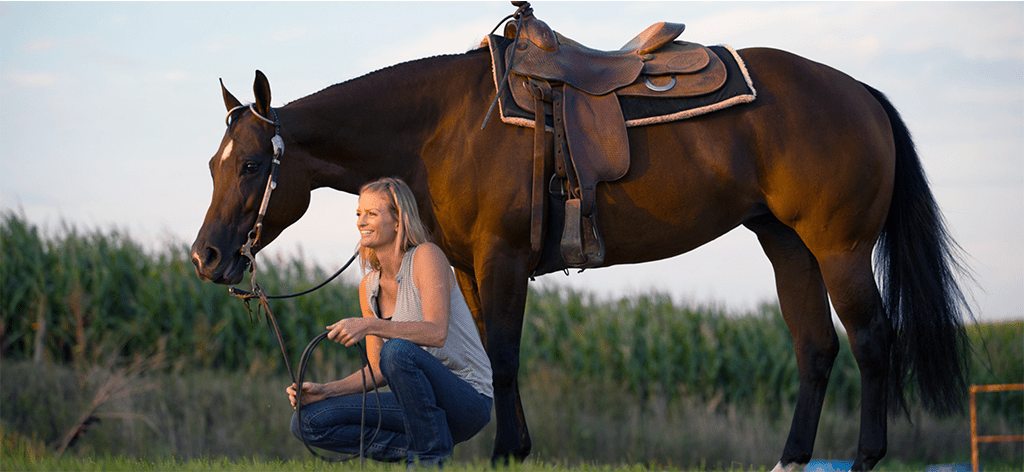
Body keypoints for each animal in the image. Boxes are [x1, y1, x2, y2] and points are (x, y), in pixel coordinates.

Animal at [189, 25, 970, 472]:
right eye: (215, 165)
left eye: (252, 166)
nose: (206, 258)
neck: (447, 126)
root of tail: (859, 91)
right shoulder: (469, 266)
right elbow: (490, 355)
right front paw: (514, 448)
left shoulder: (503, 258)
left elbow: (504, 357)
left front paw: (507, 452)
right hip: (788, 245)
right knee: (816, 348)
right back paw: (792, 460)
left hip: (840, 247)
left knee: (872, 341)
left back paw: (865, 457)